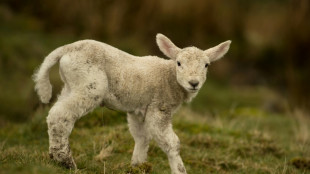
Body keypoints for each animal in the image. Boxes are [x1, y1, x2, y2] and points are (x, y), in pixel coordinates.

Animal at [32, 33, 231, 173]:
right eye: (179, 63)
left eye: (206, 65)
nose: (194, 83)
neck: (169, 77)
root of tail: (66, 49)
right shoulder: (159, 107)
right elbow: (172, 143)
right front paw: (179, 170)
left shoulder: (139, 110)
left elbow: (142, 137)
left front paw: (137, 167)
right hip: (90, 84)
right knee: (61, 115)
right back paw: (66, 162)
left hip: (71, 85)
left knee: (56, 114)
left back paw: (56, 157)